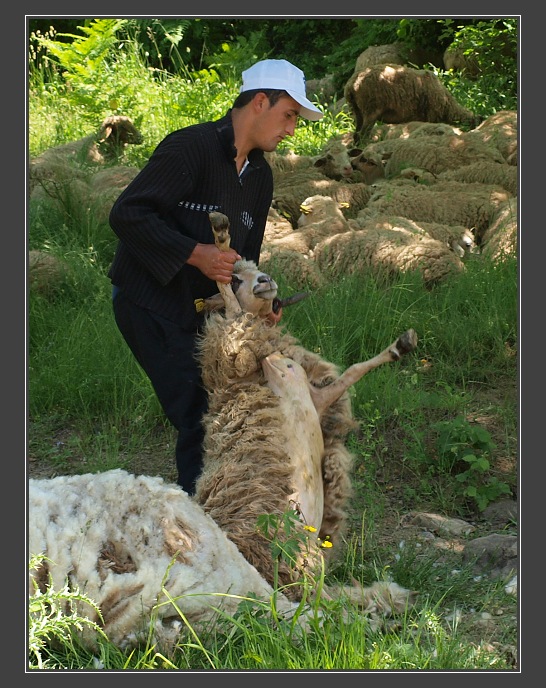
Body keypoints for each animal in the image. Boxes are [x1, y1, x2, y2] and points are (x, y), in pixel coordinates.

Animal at [344, 65, 480, 144]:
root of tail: (351, 85)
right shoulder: (432, 114)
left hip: (357, 110)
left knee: (356, 133)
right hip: (371, 107)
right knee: (362, 134)